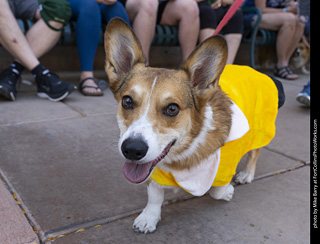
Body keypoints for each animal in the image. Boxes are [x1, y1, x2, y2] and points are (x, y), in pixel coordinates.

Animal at [104, 18, 282, 233]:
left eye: (172, 108)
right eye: (127, 101)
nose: (132, 150)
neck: (181, 156)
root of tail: (254, 70)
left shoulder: (224, 168)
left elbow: (216, 190)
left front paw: (228, 191)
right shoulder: (153, 173)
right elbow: (155, 196)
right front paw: (149, 218)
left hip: (259, 129)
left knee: (255, 151)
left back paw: (247, 173)